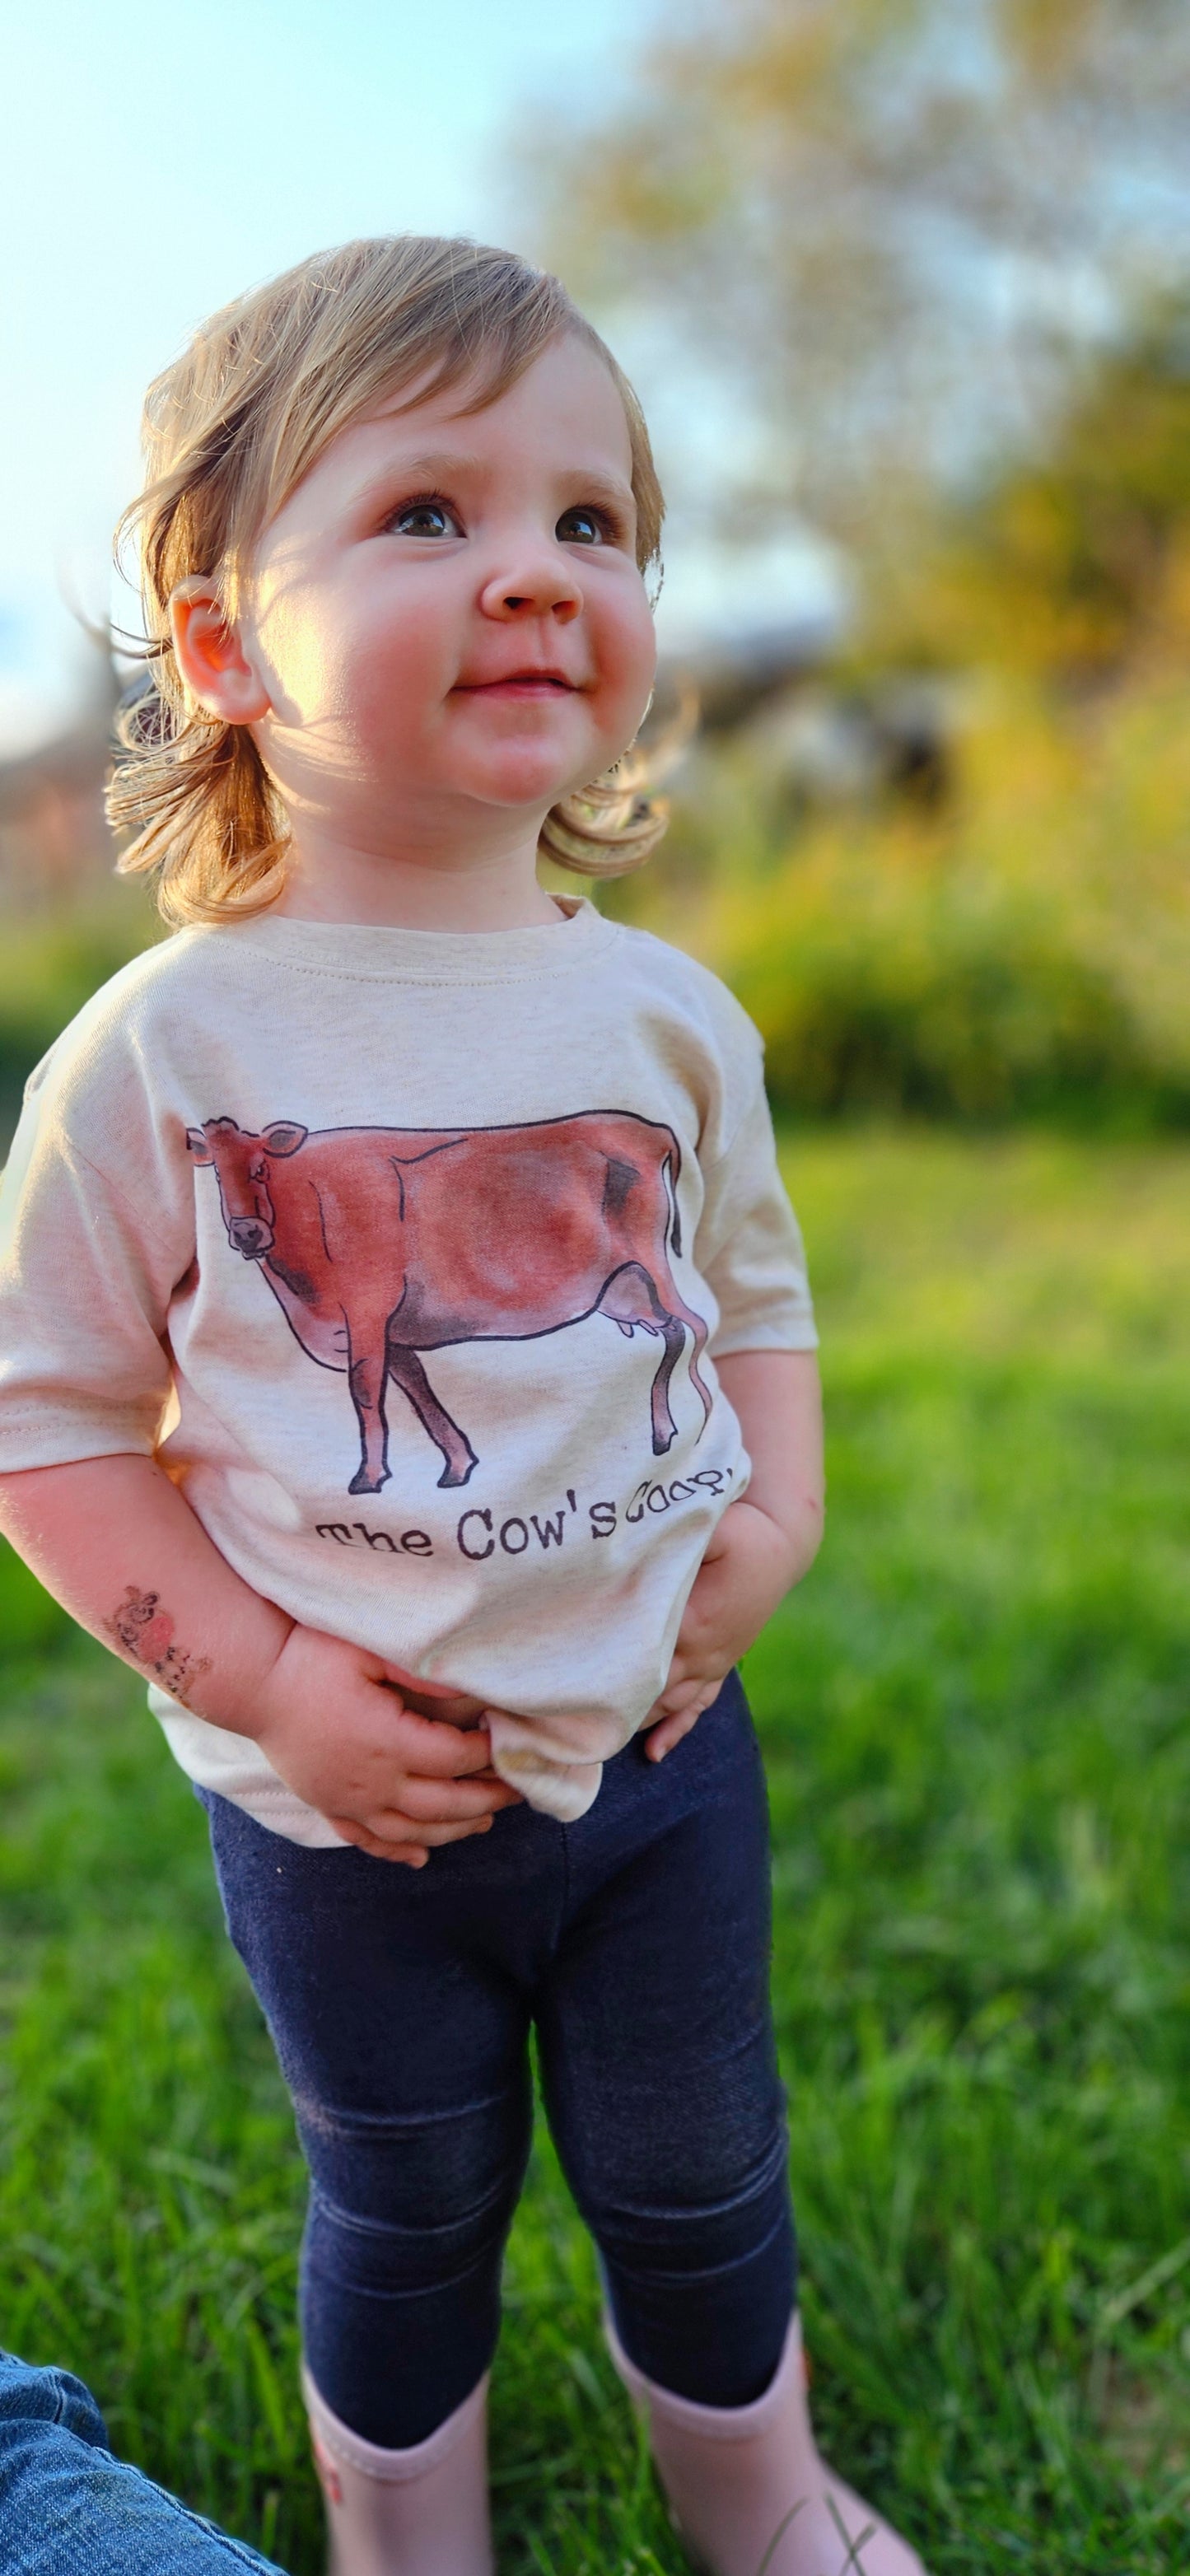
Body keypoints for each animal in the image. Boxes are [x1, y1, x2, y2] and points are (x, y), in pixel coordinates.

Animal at [186, 1111, 713, 1494]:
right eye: (217, 1175)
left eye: (260, 1169)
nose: (247, 1232)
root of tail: (644, 1129)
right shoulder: (388, 1330)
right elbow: (417, 1386)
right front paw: (459, 1464)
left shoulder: (367, 1312)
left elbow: (366, 1392)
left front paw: (368, 1478)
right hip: (624, 1292)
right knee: (671, 1331)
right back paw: (662, 1433)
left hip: (652, 1265)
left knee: (697, 1327)